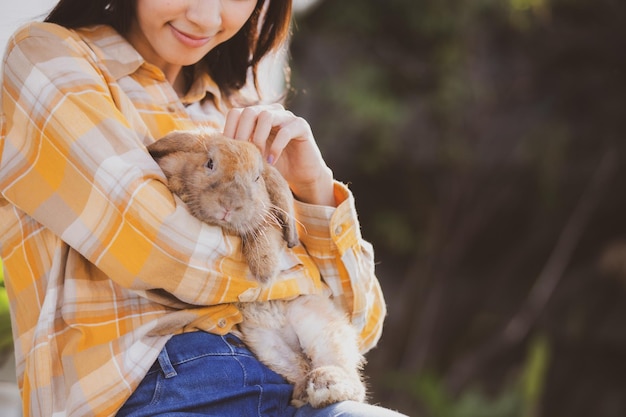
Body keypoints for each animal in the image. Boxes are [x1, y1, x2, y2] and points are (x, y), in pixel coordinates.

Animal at [147, 129, 366, 406]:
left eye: (257, 178)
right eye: (210, 163)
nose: (229, 204)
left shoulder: (266, 219)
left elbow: (263, 231)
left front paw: (265, 268)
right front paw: (179, 187)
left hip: (319, 327)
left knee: (351, 381)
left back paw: (325, 384)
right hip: (267, 345)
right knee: (300, 368)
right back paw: (303, 392)